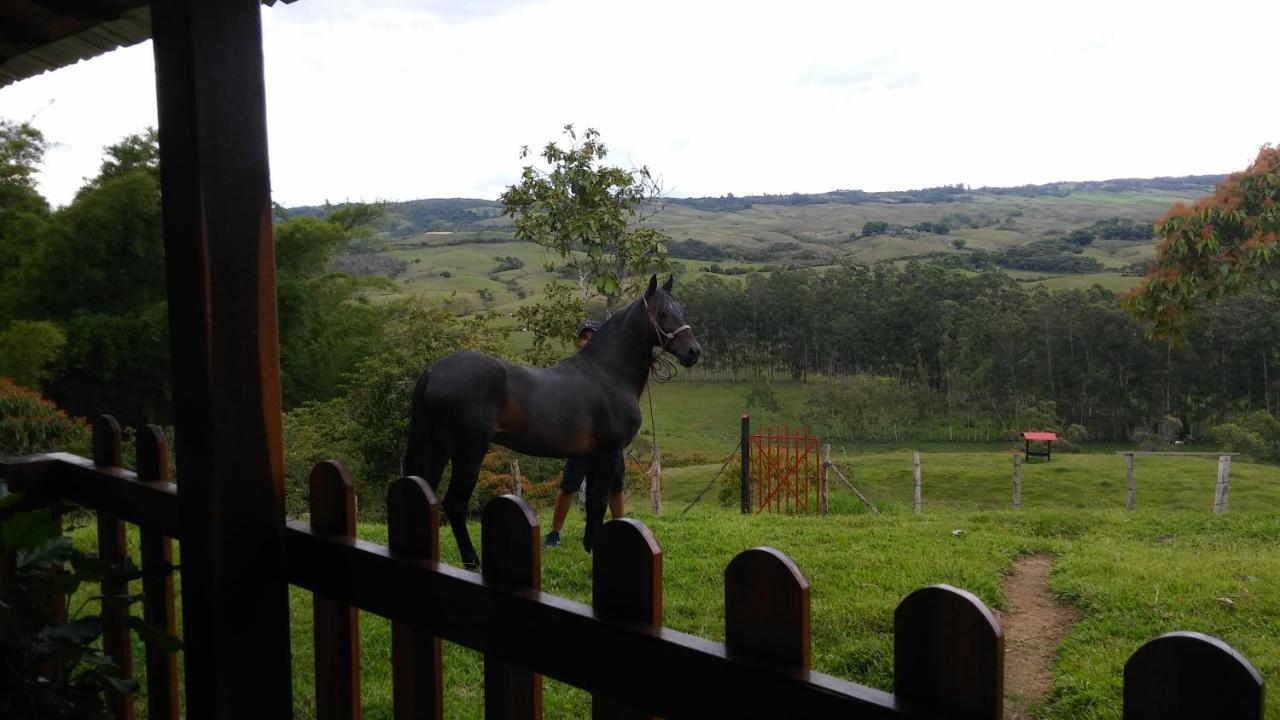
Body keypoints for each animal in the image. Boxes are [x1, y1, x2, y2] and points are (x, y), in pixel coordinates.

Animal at [401, 274, 696, 566]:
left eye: (681, 309)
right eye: (664, 313)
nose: (694, 352)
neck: (609, 373)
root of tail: (433, 371)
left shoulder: (593, 455)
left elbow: (592, 501)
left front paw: (588, 546)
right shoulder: (608, 453)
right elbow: (599, 501)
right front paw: (594, 549)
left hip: (437, 448)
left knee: (423, 491)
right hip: (468, 454)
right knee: (454, 503)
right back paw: (472, 560)